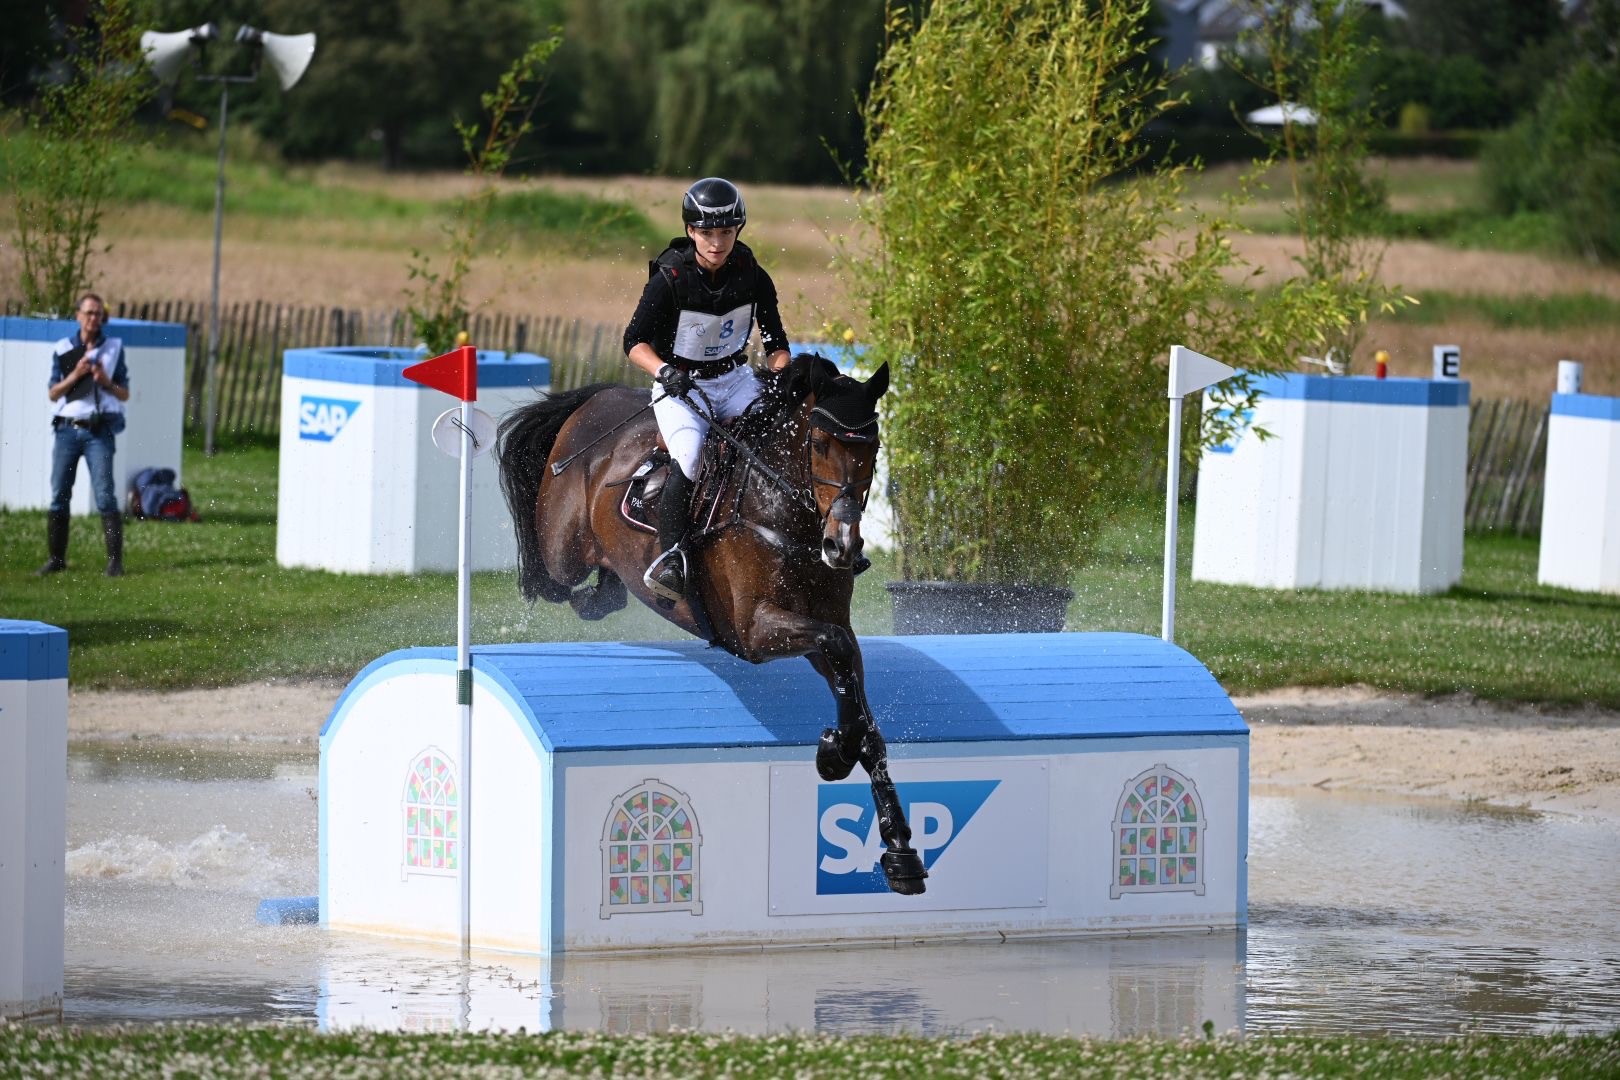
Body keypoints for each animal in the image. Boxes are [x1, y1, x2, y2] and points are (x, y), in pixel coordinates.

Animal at [492, 354, 926, 893]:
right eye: (820, 444)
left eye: (873, 447)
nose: (842, 545)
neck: (786, 512)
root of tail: (598, 398)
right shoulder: (754, 631)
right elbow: (838, 648)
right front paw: (833, 753)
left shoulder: (823, 628)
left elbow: (858, 699)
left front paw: (897, 843)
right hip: (563, 550)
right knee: (552, 576)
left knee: (605, 592)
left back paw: (617, 586)